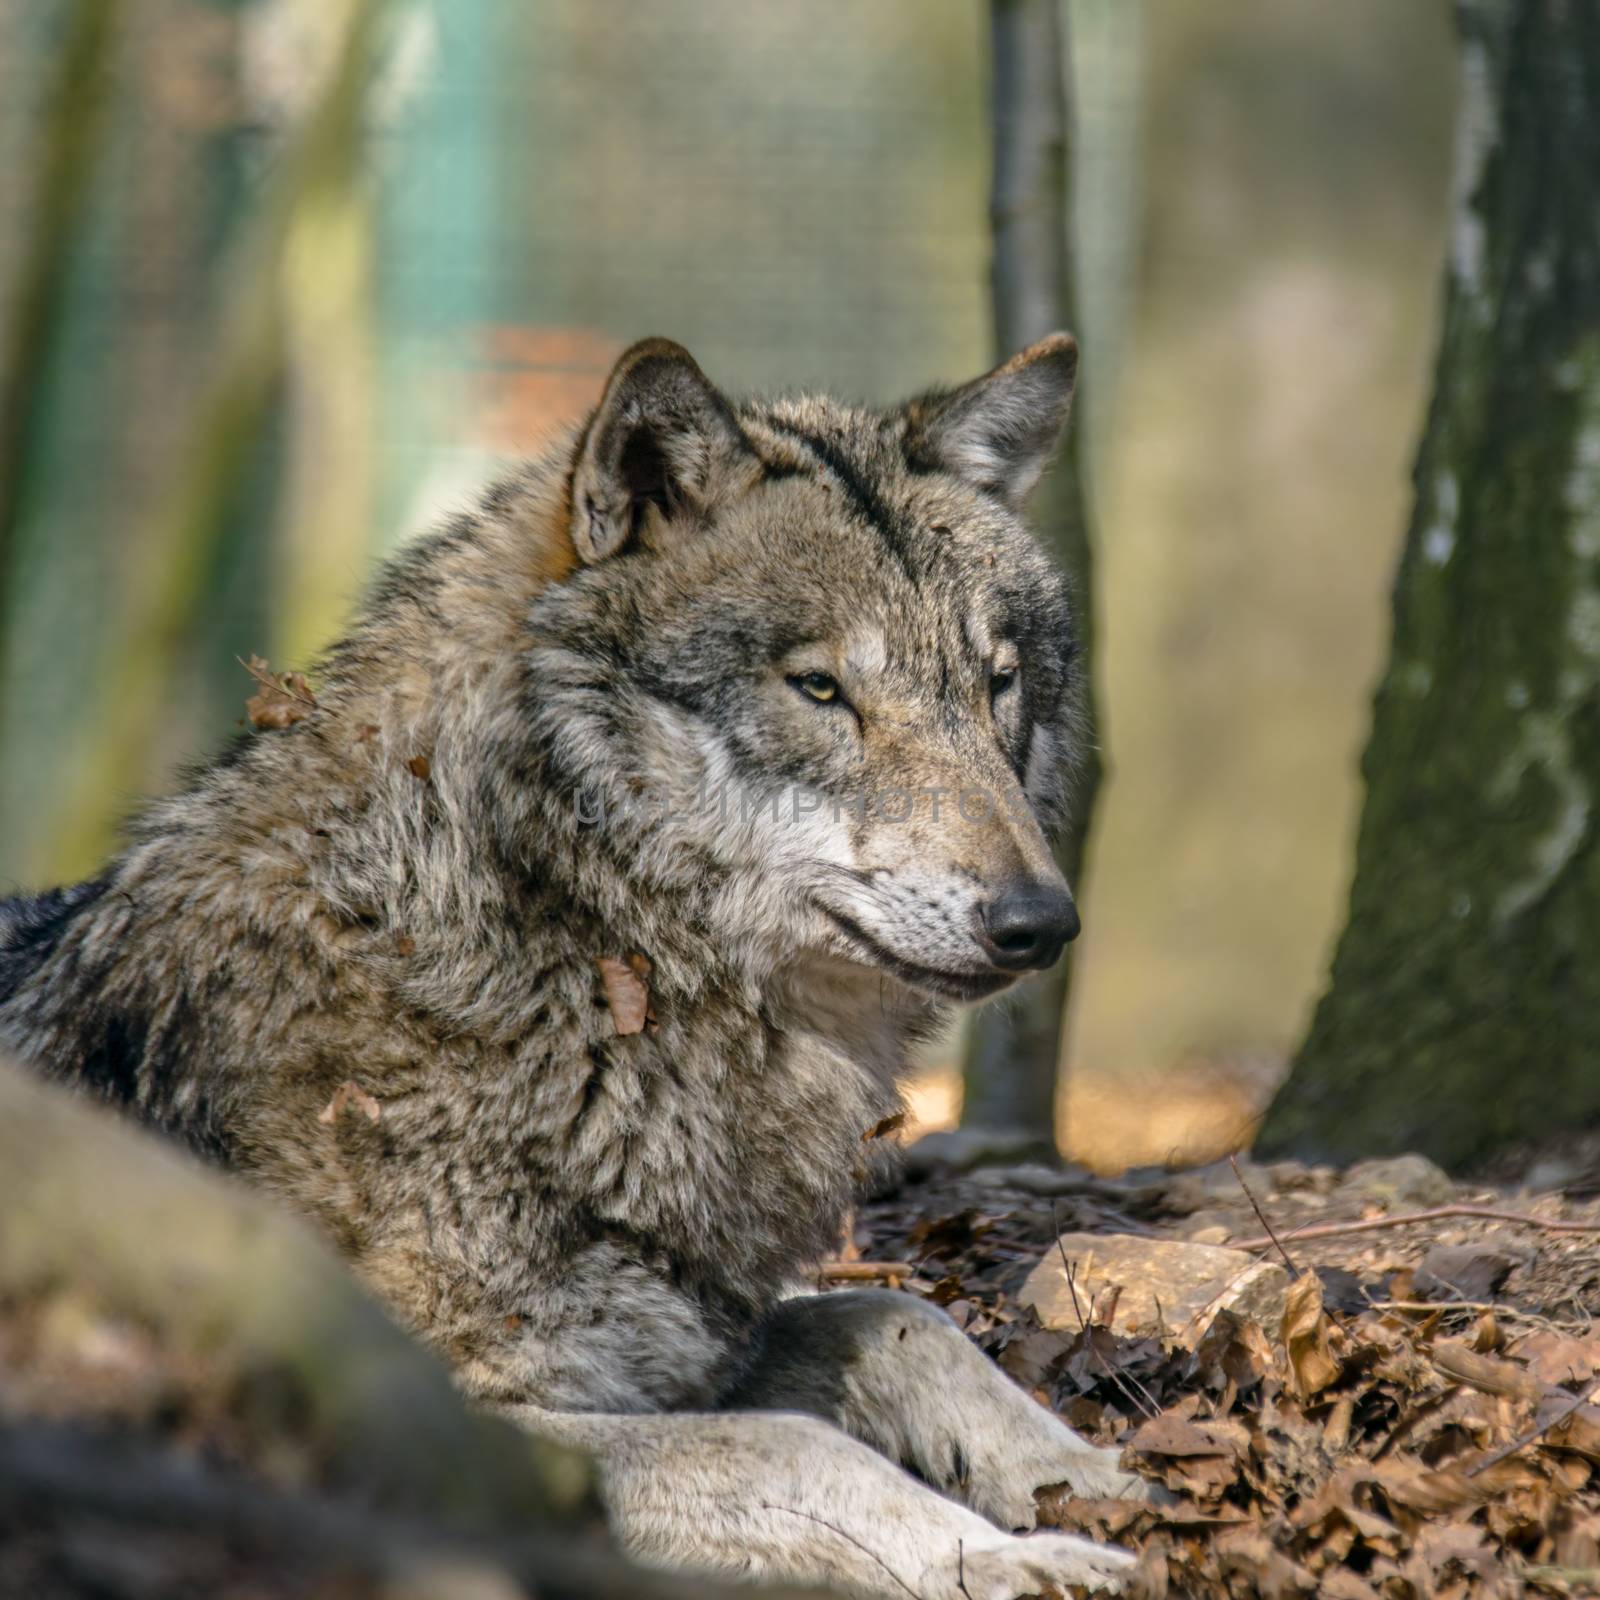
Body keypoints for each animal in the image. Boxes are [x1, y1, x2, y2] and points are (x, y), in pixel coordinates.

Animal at [3, 331, 1152, 1593]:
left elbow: (906, 1326)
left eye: (996, 683)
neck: (547, 948)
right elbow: (792, 1446)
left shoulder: (682, 1338)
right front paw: (1010, 1557)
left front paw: (1111, 1483)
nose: (1040, 921)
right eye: (818, 688)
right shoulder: (457, 1420)